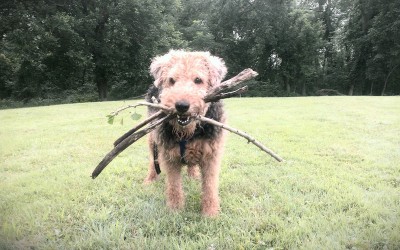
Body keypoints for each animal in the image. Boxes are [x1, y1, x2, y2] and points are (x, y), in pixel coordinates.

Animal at [144, 49, 227, 217]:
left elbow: (209, 186)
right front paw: (175, 210)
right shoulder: (169, 156)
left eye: (198, 80)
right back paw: (149, 180)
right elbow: (174, 186)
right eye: (171, 80)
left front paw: (210, 213)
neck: (188, 133)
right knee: (153, 161)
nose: (181, 106)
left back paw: (193, 175)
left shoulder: (211, 155)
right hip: (153, 139)